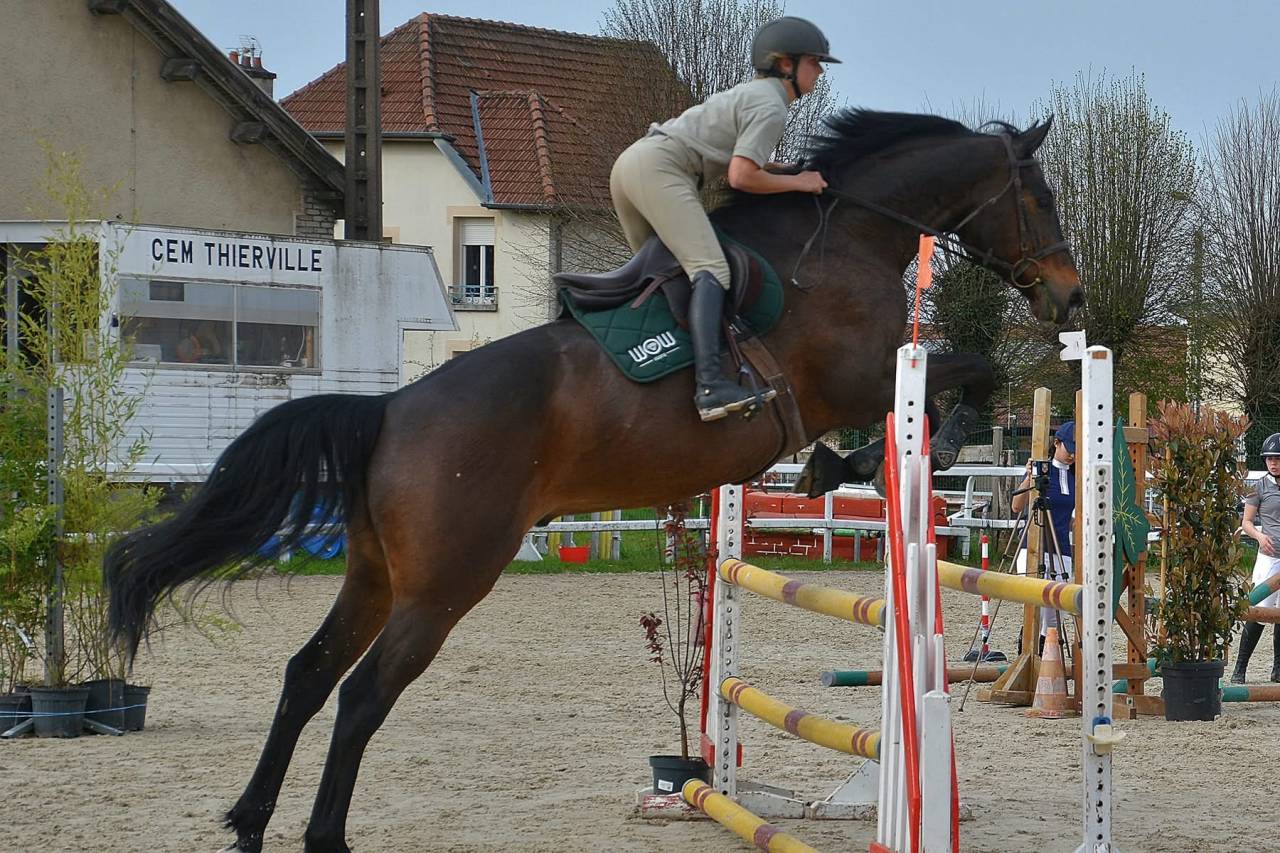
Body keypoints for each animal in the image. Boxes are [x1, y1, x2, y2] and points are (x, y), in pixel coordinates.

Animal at [104, 109, 1081, 852]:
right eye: (1040, 197)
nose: (1068, 299)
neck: (845, 237)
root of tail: (389, 411)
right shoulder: (864, 377)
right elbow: (976, 373)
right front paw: (855, 462)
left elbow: (966, 383)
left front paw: (841, 467)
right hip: (448, 580)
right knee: (362, 693)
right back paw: (323, 836)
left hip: (376, 572)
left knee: (308, 672)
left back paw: (249, 821)